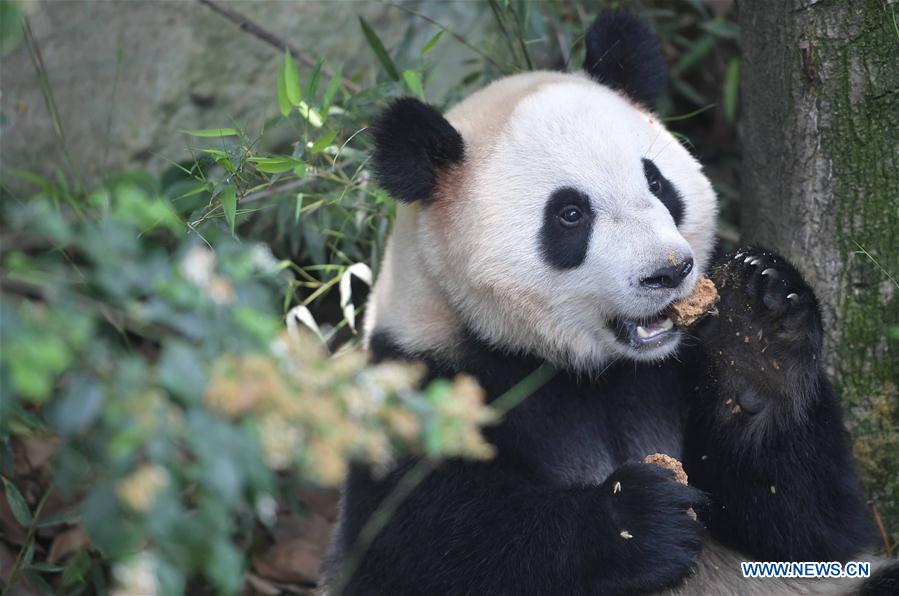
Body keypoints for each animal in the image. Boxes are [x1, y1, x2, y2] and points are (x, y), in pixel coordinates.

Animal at [322, 9, 892, 596]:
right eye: (570, 214)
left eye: (658, 183)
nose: (669, 271)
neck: (592, 369)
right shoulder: (424, 379)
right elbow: (418, 545)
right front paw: (636, 519)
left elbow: (810, 525)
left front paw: (759, 340)